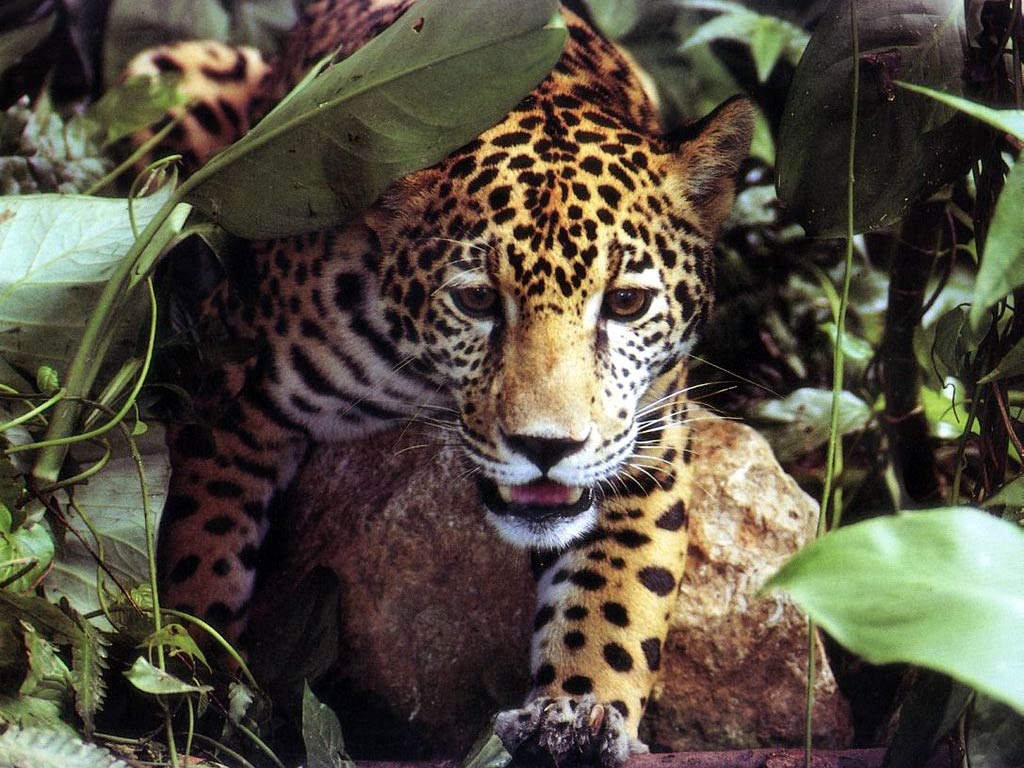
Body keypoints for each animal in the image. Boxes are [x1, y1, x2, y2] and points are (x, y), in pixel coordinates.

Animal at [127, 1, 754, 764]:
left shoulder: (648, 445)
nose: (547, 447)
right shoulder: (226, 383)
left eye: (626, 303)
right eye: (477, 300)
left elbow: (616, 597)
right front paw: (194, 688)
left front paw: (579, 714)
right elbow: (202, 551)